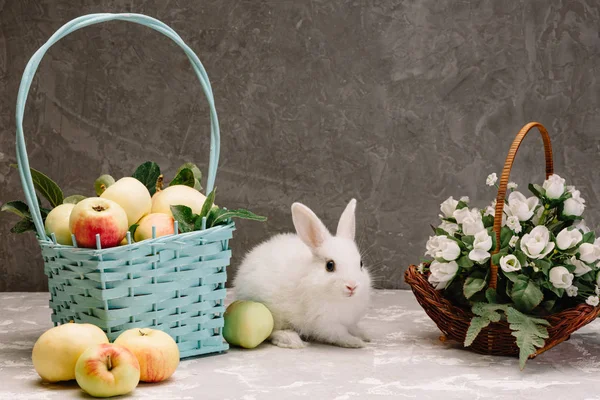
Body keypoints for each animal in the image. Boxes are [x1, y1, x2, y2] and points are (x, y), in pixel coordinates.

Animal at [231, 198, 368, 348]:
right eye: (330, 265)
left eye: (361, 264)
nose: (352, 286)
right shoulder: (325, 324)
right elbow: (339, 335)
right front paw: (356, 342)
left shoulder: (350, 322)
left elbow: (354, 328)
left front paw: (365, 335)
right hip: (274, 314)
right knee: (273, 331)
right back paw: (291, 340)